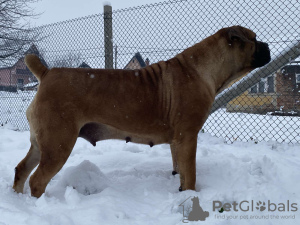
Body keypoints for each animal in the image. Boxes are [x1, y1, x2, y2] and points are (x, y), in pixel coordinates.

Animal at [12, 25, 270, 197]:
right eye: (254, 39)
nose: (267, 46)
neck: (204, 68)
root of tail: (47, 73)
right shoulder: (188, 136)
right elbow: (191, 173)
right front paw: (191, 195)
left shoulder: (177, 141)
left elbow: (181, 170)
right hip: (58, 143)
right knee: (37, 180)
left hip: (41, 144)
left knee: (21, 169)